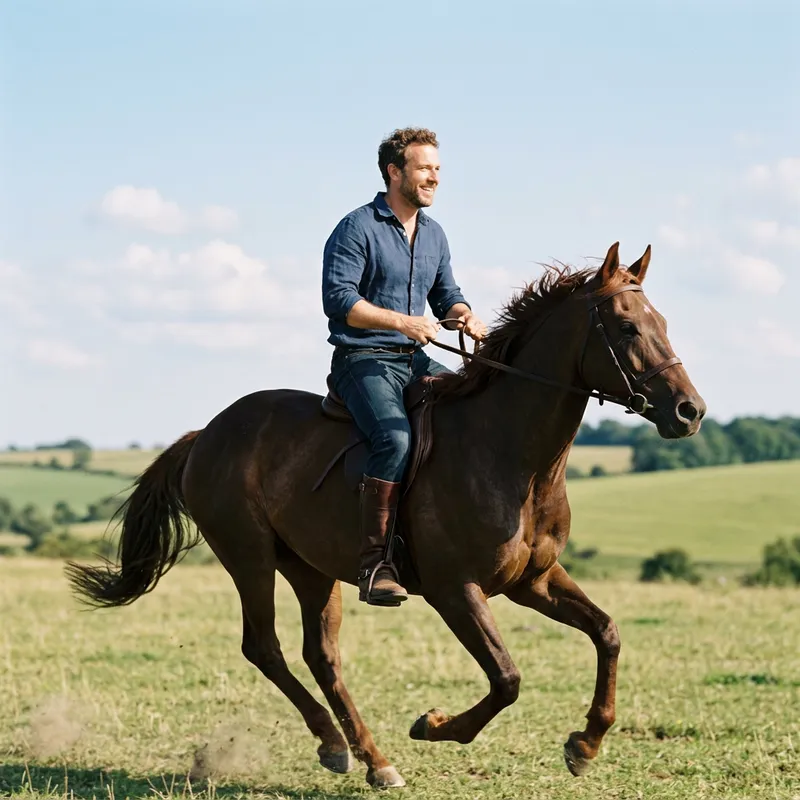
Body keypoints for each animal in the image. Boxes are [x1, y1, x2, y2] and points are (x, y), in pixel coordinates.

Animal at [66, 242, 706, 789]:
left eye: (663, 324)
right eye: (627, 327)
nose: (689, 411)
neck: (509, 455)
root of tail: (206, 434)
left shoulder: (534, 580)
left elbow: (607, 633)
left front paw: (585, 744)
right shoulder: (456, 590)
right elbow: (507, 679)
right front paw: (435, 725)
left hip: (311, 569)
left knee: (321, 656)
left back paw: (366, 756)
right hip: (249, 558)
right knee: (264, 648)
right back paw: (340, 745)